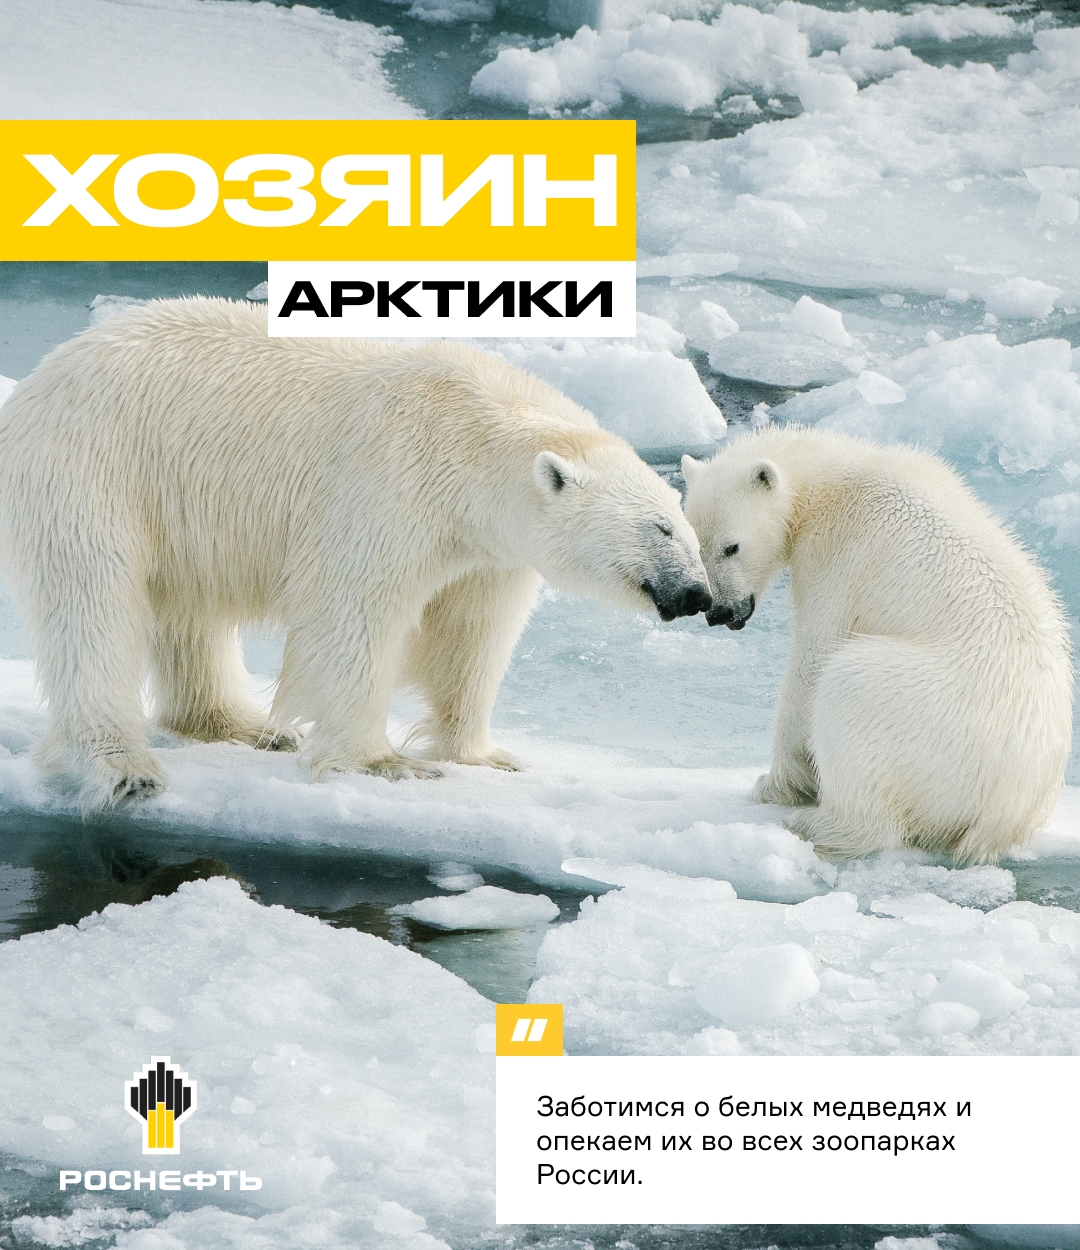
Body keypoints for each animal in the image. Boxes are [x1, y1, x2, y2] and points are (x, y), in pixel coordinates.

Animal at [0, 296, 712, 812]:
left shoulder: (489, 550)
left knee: (190, 611)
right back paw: (125, 767)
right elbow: (353, 612)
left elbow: (470, 635)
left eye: (688, 529)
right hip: (93, 473)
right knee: (94, 609)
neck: (467, 437)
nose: (699, 594)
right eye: (660, 529)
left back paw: (242, 724)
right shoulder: (387, 486)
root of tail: (38, 381)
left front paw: (484, 754)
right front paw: (386, 763)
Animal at [681, 425, 1072, 864]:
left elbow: (812, 657)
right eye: (696, 547)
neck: (828, 480)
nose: (718, 611)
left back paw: (815, 823)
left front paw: (772, 784)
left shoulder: (837, 556)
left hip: (928, 716)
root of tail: (1004, 818)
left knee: (848, 684)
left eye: (731, 547)